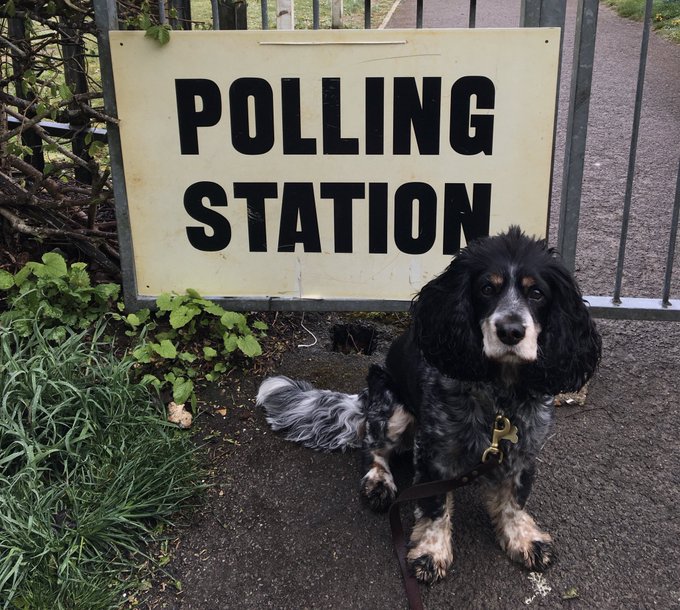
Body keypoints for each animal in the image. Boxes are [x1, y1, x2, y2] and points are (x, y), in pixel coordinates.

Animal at [258, 226, 604, 580]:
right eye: (486, 289)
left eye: (536, 293)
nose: (510, 331)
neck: (500, 395)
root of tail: (365, 400)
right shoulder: (435, 450)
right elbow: (435, 505)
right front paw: (430, 552)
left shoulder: (524, 447)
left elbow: (514, 499)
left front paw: (523, 538)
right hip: (391, 406)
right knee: (372, 447)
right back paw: (378, 483)